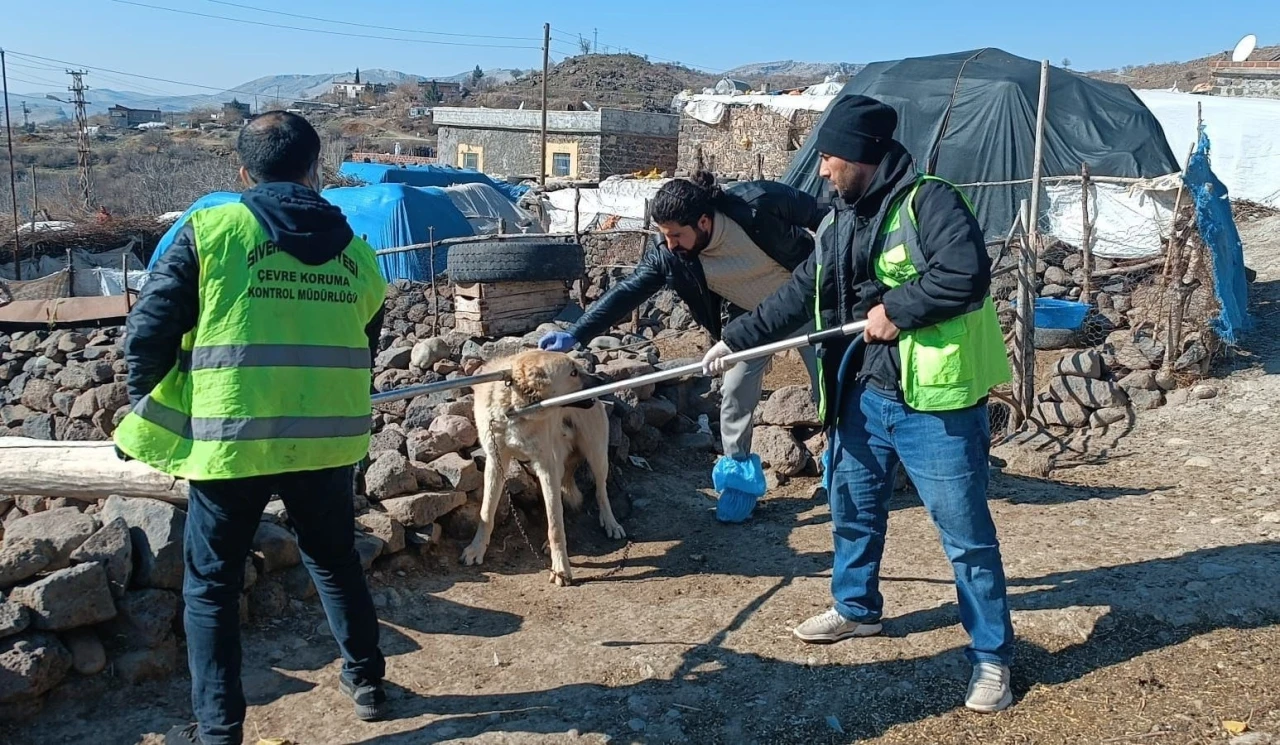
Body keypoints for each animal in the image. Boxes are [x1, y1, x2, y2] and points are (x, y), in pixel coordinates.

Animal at [460, 350, 624, 588]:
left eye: (578, 368)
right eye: (573, 373)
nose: (604, 381)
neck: (514, 409)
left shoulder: (547, 466)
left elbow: (555, 524)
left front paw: (561, 569)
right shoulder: (495, 461)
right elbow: (486, 511)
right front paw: (477, 549)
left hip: (596, 455)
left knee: (600, 491)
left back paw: (610, 522)